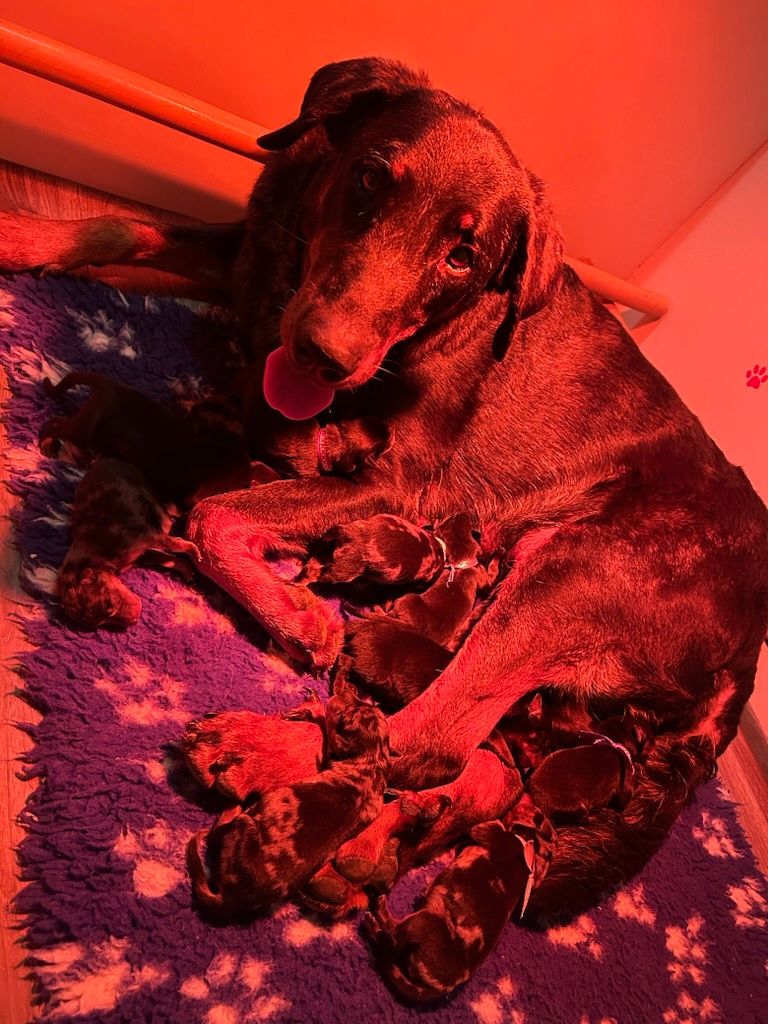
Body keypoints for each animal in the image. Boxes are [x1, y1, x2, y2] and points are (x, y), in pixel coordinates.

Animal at [58, 458, 199, 630]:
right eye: (103, 623)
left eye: (110, 607)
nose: (135, 620)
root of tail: (104, 459)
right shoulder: (143, 553)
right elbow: (168, 560)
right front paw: (187, 569)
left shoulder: (145, 536)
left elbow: (173, 544)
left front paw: (194, 551)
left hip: (143, 487)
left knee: (166, 516)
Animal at [187, 675, 391, 917]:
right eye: (365, 706)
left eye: (347, 713)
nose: (347, 691)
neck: (372, 762)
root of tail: (235, 897)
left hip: (243, 826)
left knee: (217, 832)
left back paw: (234, 802)